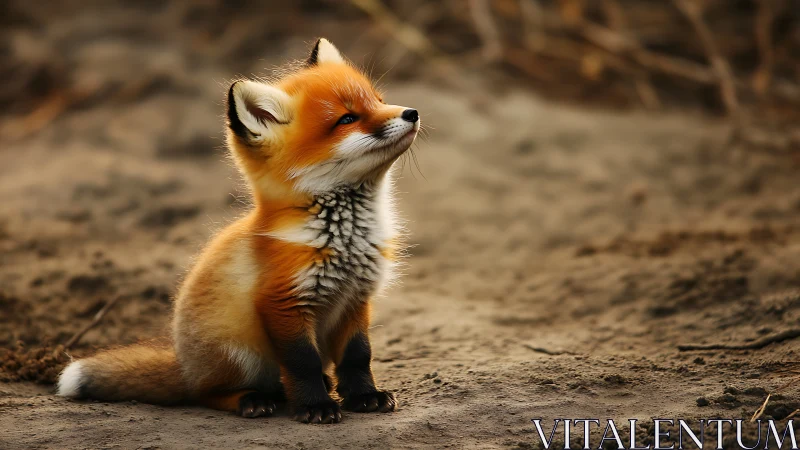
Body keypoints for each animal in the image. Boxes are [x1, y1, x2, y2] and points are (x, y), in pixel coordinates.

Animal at [56, 38, 420, 424]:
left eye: (378, 100)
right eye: (347, 119)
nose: (411, 113)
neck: (345, 239)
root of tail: (185, 365)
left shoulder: (355, 299)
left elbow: (357, 357)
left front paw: (364, 397)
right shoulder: (283, 303)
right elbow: (302, 363)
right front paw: (315, 406)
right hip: (239, 354)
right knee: (207, 395)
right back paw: (253, 400)